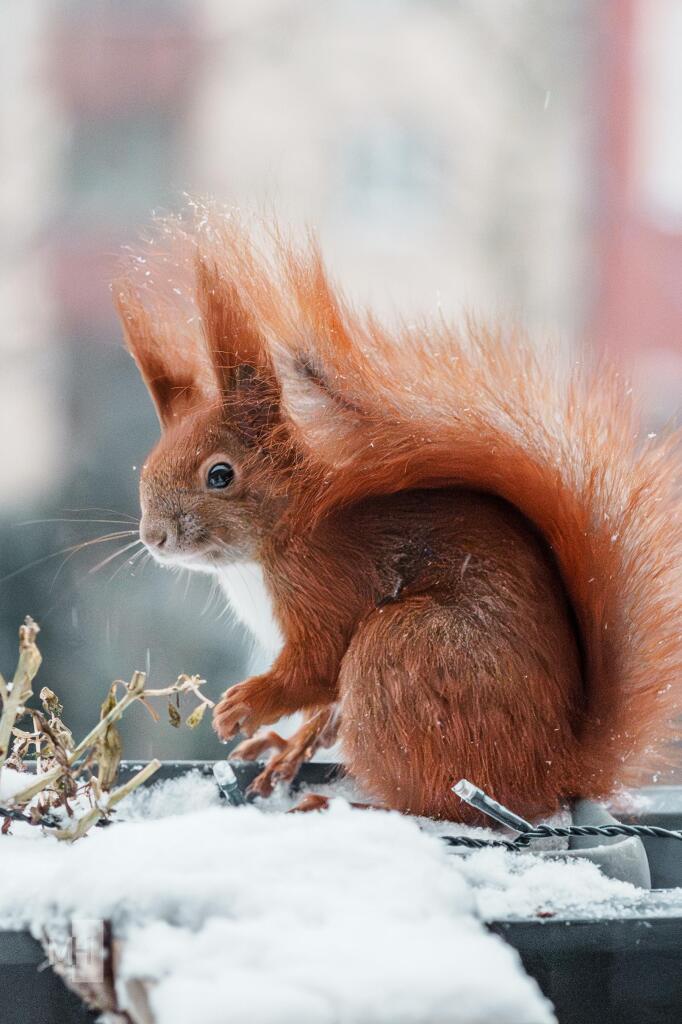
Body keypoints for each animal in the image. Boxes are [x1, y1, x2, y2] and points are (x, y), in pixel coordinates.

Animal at [115, 205, 682, 824]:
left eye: (220, 475)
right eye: (147, 466)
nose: (154, 537)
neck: (264, 552)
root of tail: (555, 768)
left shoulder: (326, 583)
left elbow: (316, 666)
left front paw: (246, 705)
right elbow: (324, 711)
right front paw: (285, 748)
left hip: (402, 653)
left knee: (438, 803)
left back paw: (346, 804)